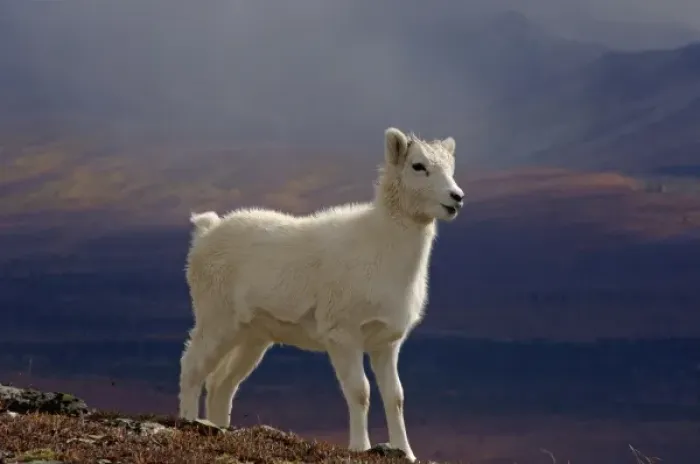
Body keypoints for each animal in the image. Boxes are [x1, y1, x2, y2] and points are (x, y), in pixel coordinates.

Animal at [179, 127, 464, 462]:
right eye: (418, 166)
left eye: (451, 167)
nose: (456, 198)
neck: (382, 250)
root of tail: (206, 232)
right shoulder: (343, 337)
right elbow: (360, 392)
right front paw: (360, 447)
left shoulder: (386, 344)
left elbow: (395, 397)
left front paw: (406, 451)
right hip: (217, 322)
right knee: (192, 367)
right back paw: (187, 421)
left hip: (252, 338)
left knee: (221, 384)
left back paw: (219, 427)